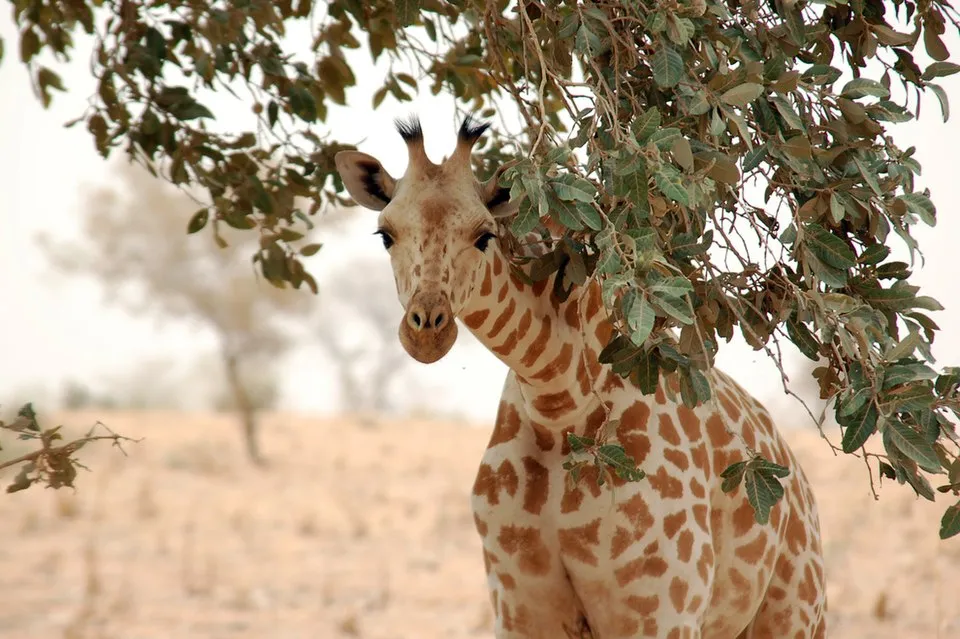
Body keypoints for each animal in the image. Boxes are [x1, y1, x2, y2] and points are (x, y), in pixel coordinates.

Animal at [334, 116, 827, 639]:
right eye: (386, 234)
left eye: (484, 235)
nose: (427, 329)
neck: (559, 402)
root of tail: (799, 483)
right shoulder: (519, 605)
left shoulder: (665, 609)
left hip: (795, 614)